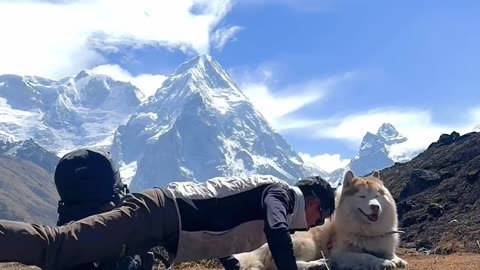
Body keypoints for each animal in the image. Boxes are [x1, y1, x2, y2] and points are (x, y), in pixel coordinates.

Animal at [234, 171, 406, 270]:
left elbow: (390, 254)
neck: (366, 231)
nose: (375, 207)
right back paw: (318, 264)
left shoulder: (384, 246)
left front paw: (397, 260)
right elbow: (366, 256)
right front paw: (383, 263)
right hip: (308, 244)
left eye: (377, 195)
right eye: (362, 196)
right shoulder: (340, 254)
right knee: (280, 264)